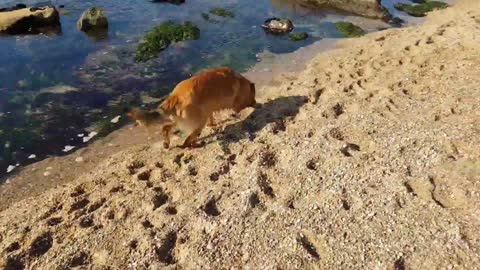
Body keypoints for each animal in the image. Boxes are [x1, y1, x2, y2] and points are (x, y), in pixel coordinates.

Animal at [126, 67, 255, 148]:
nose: (254, 103)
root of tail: (175, 97)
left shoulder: (208, 109)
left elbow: (211, 117)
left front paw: (213, 124)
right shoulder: (237, 104)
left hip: (179, 120)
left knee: (166, 128)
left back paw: (167, 143)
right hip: (198, 122)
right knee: (187, 141)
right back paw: (195, 145)